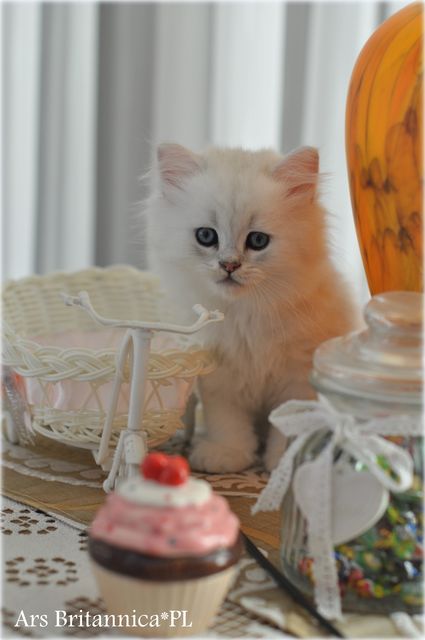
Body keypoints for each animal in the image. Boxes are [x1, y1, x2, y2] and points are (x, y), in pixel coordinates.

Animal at [144, 143, 360, 473]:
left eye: (258, 240)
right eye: (206, 236)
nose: (229, 265)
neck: (246, 314)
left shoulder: (298, 379)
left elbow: (287, 426)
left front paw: (282, 462)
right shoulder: (220, 377)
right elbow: (227, 423)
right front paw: (226, 455)